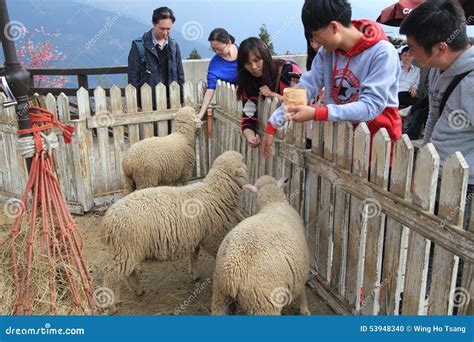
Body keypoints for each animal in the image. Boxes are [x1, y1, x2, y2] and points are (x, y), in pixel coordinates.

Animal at [102, 151, 250, 308]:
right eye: (242, 160)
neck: (215, 192)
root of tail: (108, 220)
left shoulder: (196, 234)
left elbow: (194, 254)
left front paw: (194, 274)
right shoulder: (211, 237)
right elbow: (216, 255)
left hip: (126, 250)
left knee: (128, 272)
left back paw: (138, 290)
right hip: (127, 248)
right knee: (111, 276)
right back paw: (111, 305)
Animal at [211, 176, 312, 316]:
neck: (272, 203)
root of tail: (231, 272)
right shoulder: (301, 267)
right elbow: (302, 290)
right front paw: (305, 309)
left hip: (220, 296)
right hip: (263, 303)